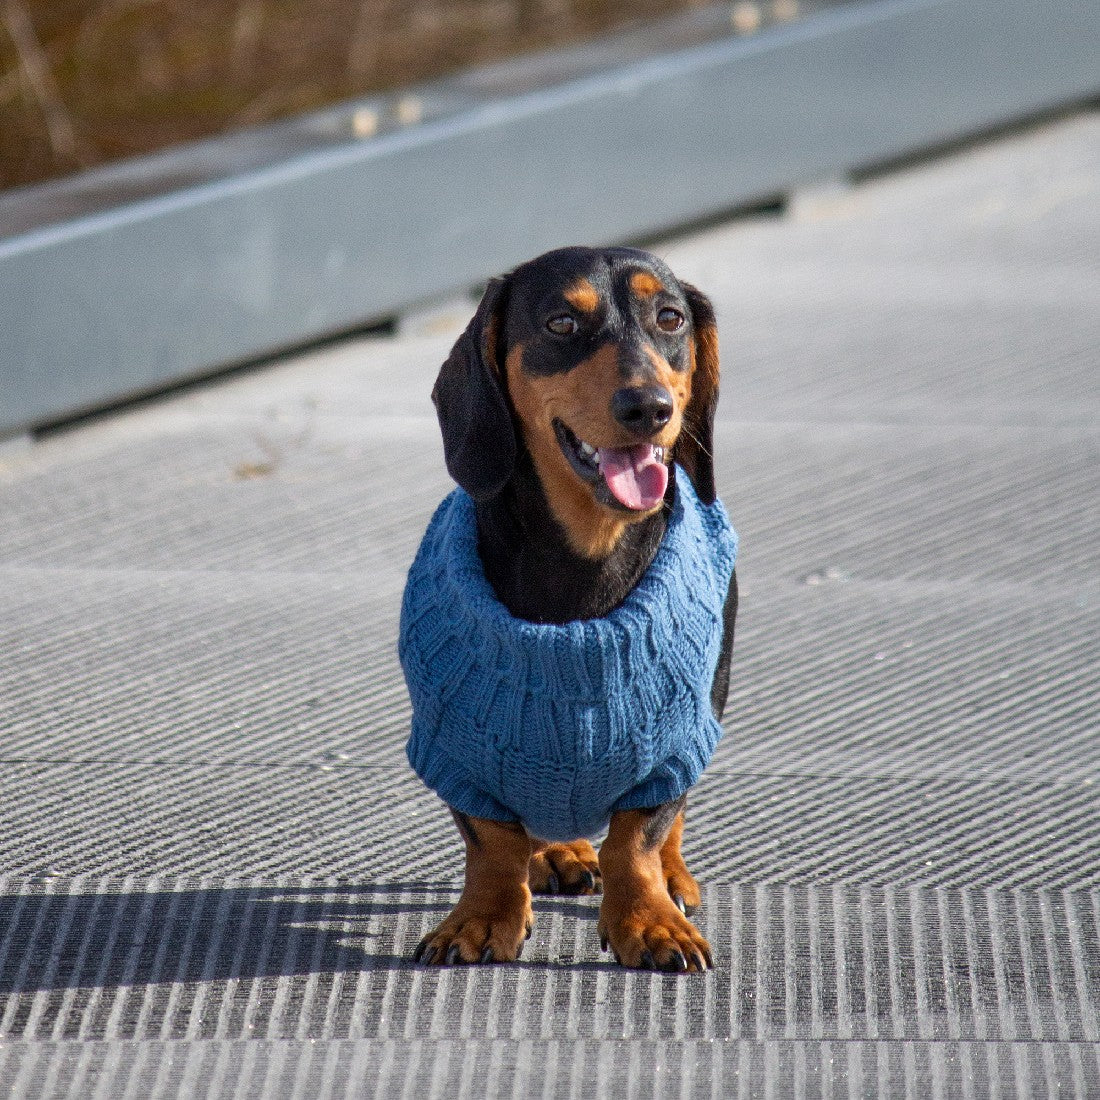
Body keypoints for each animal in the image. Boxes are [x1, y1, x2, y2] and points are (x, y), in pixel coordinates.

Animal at [400, 247, 734, 972]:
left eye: (670, 317)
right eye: (560, 323)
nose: (648, 407)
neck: (585, 554)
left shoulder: (675, 738)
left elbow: (638, 837)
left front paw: (649, 919)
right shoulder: (457, 748)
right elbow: (493, 841)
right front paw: (482, 916)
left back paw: (673, 878)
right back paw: (557, 852)